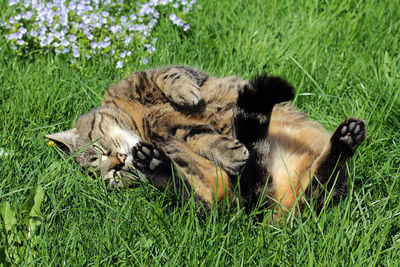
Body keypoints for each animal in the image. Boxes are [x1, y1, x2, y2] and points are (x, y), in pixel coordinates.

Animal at [46, 66, 366, 219]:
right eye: (112, 177)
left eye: (98, 151)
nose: (119, 162)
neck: (139, 125)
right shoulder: (179, 134)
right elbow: (205, 138)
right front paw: (231, 152)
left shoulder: (152, 77)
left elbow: (168, 76)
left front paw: (184, 92)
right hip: (220, 200)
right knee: (188, 194)